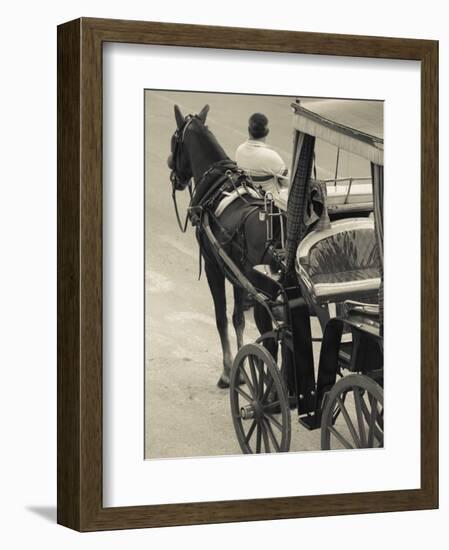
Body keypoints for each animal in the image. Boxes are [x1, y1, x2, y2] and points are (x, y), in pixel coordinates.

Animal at [168, 105, 280, 390]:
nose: (172, 169)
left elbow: (221, 318)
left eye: (174, 140)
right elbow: (238, 318)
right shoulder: (237, 275)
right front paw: (242, 369)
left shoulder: (213, 266)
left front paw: (229, 372)